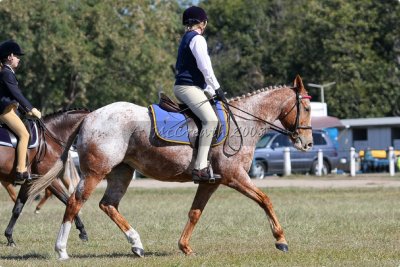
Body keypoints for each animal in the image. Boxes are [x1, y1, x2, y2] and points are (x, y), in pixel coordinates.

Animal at [0, 109, 90, 247]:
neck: (51, 135)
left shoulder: (29, 183)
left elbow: (17, 209)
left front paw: (9, 237)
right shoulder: (48, 178)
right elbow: (67, 200)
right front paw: (83, 231)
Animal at [28, 75, 316, 260]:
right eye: (307, 107)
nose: (308, 142)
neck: (242, 122)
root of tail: (90, 116)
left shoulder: (210, 181)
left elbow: (195, 213)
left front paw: (185, 247)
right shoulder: (234, 176)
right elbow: (265, 200)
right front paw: (281, 240)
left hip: (122, 172)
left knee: (108, 204)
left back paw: (137, 244)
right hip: (95, 173)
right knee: (75, 202)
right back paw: (62, 250)